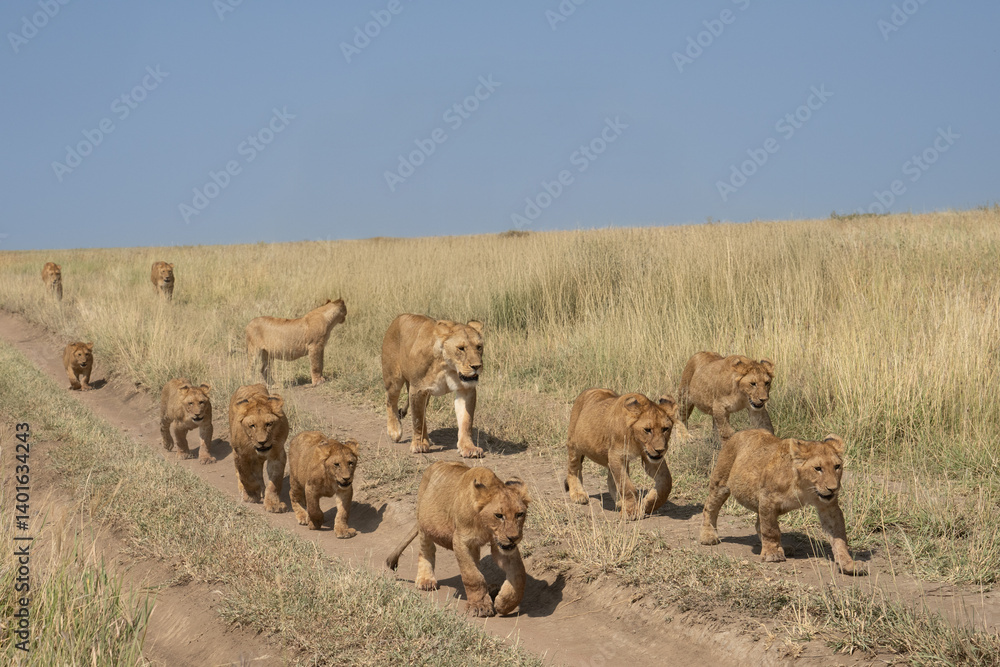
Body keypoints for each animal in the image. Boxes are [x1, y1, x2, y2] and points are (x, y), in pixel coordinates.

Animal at [228, 384, 290, 513]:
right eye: (252, 425)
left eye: (269, 424)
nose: (262, 442)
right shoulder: (240, 454)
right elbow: (246, 475)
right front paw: (252, 495)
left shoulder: (277, 454)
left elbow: (274, 482)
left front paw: (273, 504)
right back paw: (245, 490)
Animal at [381, 314, 485, 458]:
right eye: (461, 348)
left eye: (479, 347)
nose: (477, 366)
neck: (448, 366)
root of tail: (398, 318)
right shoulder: (417, 389)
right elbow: (417, 420)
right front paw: (419, 445)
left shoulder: (466, 389)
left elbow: (466, 420)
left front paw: (468, 448)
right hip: (394, 378)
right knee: (390, 401)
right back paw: (394, 430)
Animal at [386, 461, 530, 617]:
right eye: (498, 515)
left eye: (520, 514)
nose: (514, 538)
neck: (484, 526)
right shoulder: (461, 540)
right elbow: (472, 576)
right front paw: (479, 606)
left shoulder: (501, 544)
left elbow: (518, 574)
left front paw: (505, 603)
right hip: (425, 523)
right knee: (426, 550)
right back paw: (426, 580)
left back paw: (492, 589)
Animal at [564, 389, 678, 520]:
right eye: (647, 430)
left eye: (665, 429)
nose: (660, 450)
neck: (636, 441)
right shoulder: (616, 454)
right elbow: (627, 486)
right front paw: (630, 512)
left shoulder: (650, 458)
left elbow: (666, 483)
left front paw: (646, 504)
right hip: (574, 445)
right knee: (573, 469)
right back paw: (578, 494)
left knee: (611, 479)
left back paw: (619, 502)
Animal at [699, 429, 864, 575]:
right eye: (818, 468)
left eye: (837, 466)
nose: (833, 489)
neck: (804, 487)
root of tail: (737, 433)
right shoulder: (767, 499)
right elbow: (771, 530)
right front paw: (772, 554)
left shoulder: (828, 507)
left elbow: (839, 536)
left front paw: (848, 563)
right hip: (720, 483)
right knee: (709, 508)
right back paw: (708, 536)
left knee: (758, 524)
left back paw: (784, 546)